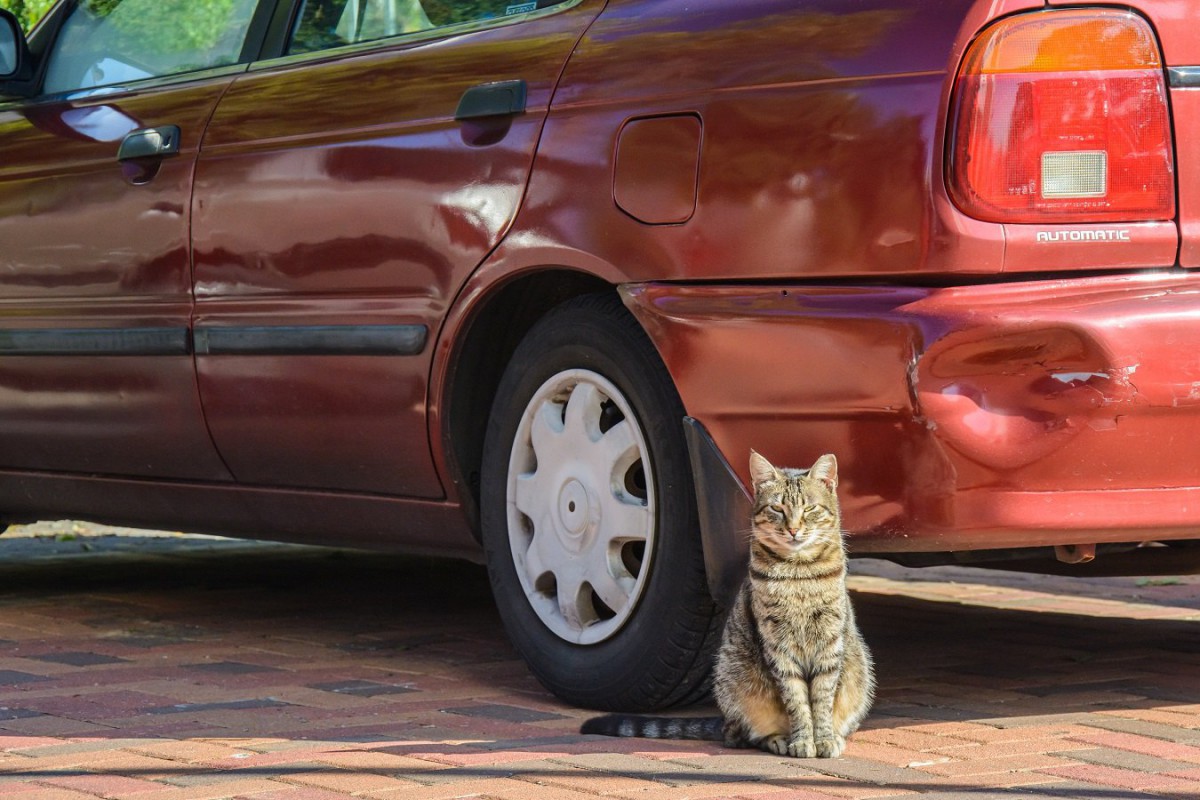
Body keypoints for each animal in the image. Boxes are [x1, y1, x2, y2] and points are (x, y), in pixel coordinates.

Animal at [580, 453, 873, 762]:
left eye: (810, 508)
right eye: (777, 508)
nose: (793, 529)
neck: (798, 572)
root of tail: (723, 720)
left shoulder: (829, 642)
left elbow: (822, 698)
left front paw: (824, 738)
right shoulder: (778, 645)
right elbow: (797, 699)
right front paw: (803, 740)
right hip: (735, 681)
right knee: (739, 736)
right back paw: (777, 738)